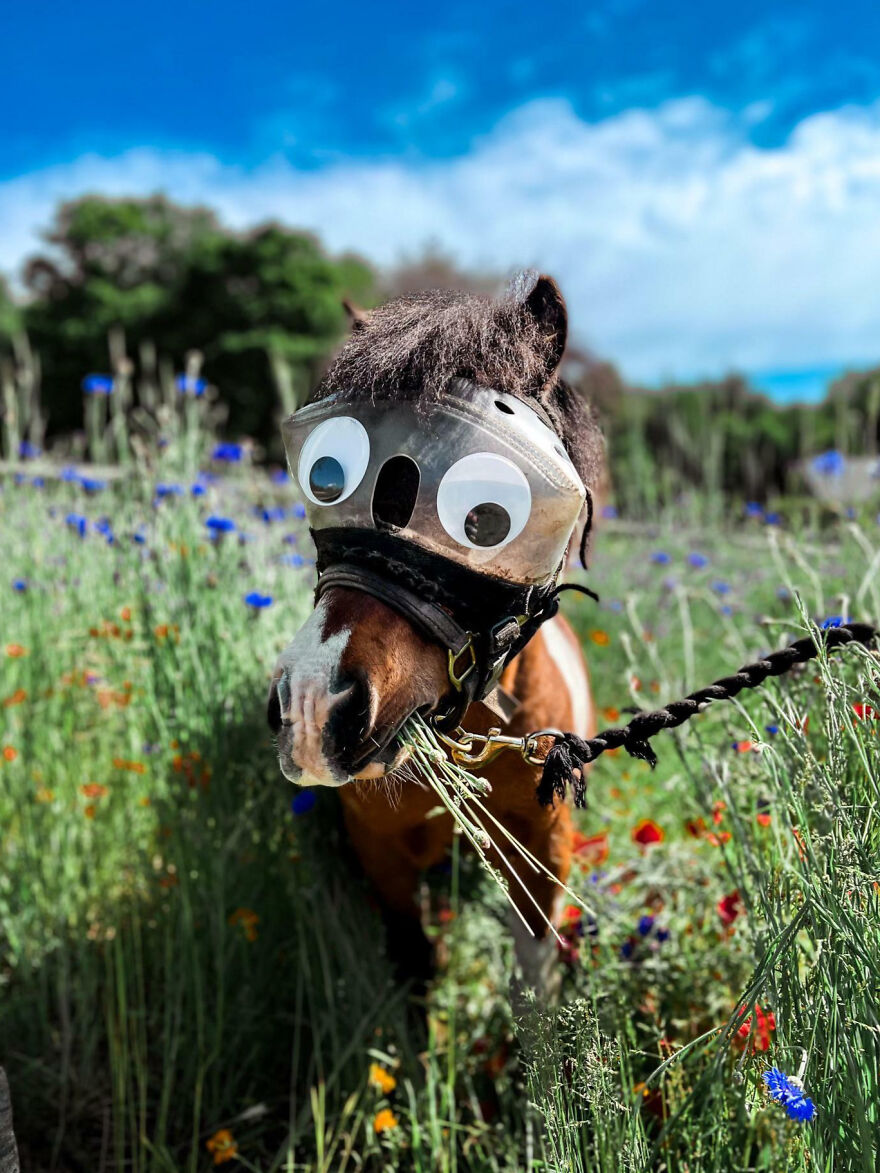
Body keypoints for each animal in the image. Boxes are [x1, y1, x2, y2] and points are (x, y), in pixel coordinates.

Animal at [267, 274, 605, 987]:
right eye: (324, 476)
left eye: (486, 515)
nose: (313, 705)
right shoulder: (382, 856)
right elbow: (416, 962)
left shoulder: (544, 852)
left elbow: (534, 970)